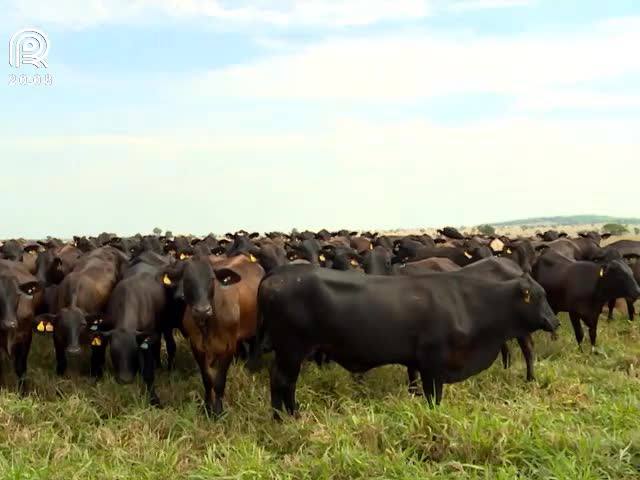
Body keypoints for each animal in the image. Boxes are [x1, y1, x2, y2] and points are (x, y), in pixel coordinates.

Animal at [258, 264, 556, 418]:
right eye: (540, 296)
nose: (556, 322)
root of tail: (278, 273)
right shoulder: (432, 364)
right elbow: (433, 397)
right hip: (291, 349)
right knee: (282, 380)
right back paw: (284, 418)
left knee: (286, 381)